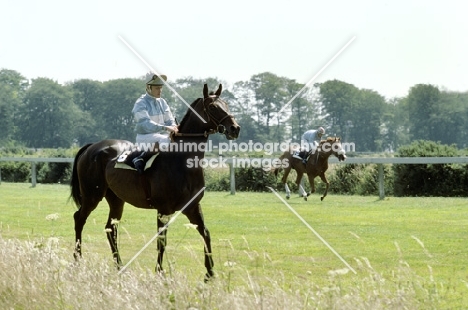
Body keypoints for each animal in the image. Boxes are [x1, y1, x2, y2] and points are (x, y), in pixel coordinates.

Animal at [69, 84, 241, 278]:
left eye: (226, 104)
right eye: (212, 107)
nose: (234, 128)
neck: (182, 161)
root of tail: (91, 146)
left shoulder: (192, 207)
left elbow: (205, 233)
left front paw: (210, 272)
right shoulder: (163, 210)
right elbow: (162, 239)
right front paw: (159, 271)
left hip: (116, 200)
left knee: (110, 229)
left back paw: (120, 266)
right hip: (92, 195)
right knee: (79, 219)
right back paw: (77, 260)